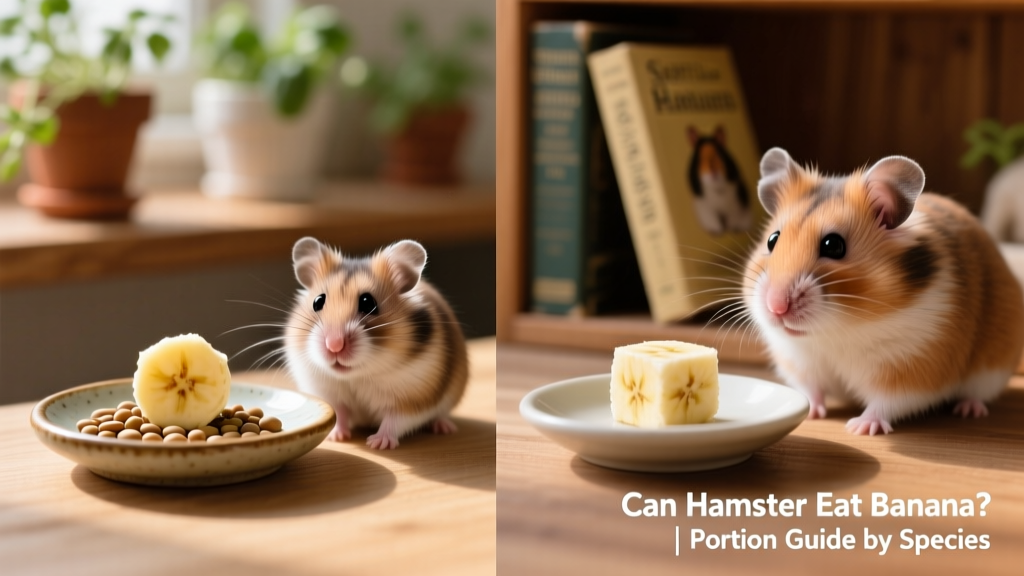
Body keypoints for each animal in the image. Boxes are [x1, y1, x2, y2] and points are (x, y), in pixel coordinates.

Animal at [284, 237, 469, 449]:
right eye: (317, 301)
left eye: (368, 302)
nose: (334, 345)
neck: (358, 376)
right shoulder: (329, 393)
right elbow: (340, 414)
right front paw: (337, 437)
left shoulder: (413, 398)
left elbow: (394, 420)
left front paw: (377, 444)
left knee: (440, 415)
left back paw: (444, 428)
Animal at [744, 147, 1024, 435]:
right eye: (772, 240)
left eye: (834, 245)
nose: (776, 307)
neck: (836, 330)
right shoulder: (799, 362)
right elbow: (812, 390)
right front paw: (811, 413)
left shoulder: (912, 367)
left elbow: (885, 402)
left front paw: (859, 428)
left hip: (993, 367)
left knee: (978, 394)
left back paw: (968, 410)